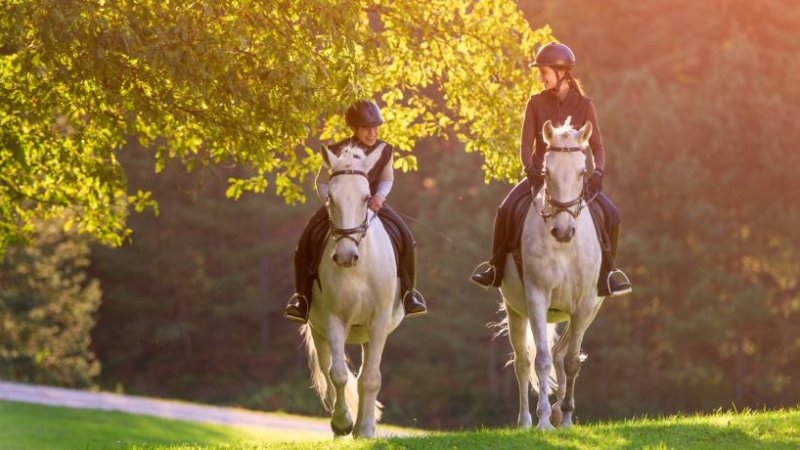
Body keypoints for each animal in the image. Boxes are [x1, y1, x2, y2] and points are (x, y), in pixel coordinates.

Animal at [300, 143, 404, 436]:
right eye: (331, 198)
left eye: (367, 197)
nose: (346, 256)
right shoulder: (333, 319)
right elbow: (337, 374)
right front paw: (342, 423)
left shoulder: (378, 323)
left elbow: (370, 379)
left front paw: (366, 429)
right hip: (318, 330)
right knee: (328, 371)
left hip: (369, 334)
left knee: (364, 377)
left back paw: (361, 428)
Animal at [496, 118, 604, 428]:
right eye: (547, 172)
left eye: (582, 171)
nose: (563, 231)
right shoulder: (537, 299)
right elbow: (540, 361)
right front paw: (543, 420)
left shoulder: (584, 306)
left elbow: (571, 362)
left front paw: (565, 416)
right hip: (516, 310)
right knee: (522, 363)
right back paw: (525, 421)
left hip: (583, 313)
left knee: (560, 354)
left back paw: (559, 411)